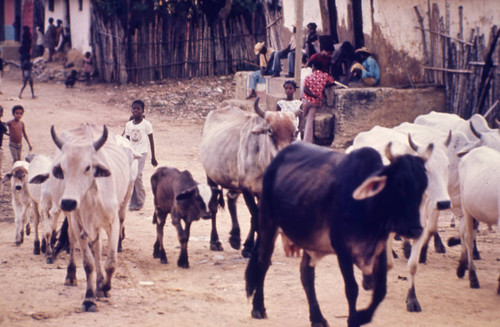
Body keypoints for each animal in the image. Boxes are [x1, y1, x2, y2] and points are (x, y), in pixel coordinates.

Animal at [44, 123, 134, 312]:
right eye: (62, 169)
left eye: (87, 167)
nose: (68, 202)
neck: (90, 198)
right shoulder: (78, 224)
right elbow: (88, 263)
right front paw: (89, 298)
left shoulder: (113, 223)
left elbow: (110, 262)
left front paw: (105, 287)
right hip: (72, 221)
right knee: (73, 241)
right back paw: (71, 275)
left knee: (98, 249)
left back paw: (100, 283)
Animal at [199, 98, 296, 258]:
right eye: (270, 131)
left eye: (295, 133)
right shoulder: (246, 188)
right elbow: (255, 216)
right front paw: (250, 247)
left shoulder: (262, 193)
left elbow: (257, 218)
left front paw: (252, 246)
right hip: (211, 177)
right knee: (214, 208)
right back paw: (215, 242)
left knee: (231, 200)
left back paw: (235, 237)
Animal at [244, 142, 428, 326]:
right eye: (399, 184)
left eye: (424, 186)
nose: (415, 229)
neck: (367, 206)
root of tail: (275, 161)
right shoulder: (343, 250)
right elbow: (352, 289)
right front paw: (354, 319)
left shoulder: (379, 249)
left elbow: (381, 290)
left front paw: (362, 316)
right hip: (268, 224)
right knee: (262, 262)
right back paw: (258, 308)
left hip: (308, 236)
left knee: (306, 274)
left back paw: (317, 318)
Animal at [348, 125, 454, 312]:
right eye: (426, 169)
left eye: (447, 166)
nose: (443, 203)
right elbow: (387, 263)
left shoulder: (421, 229)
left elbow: (412, 265)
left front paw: (412, 299)